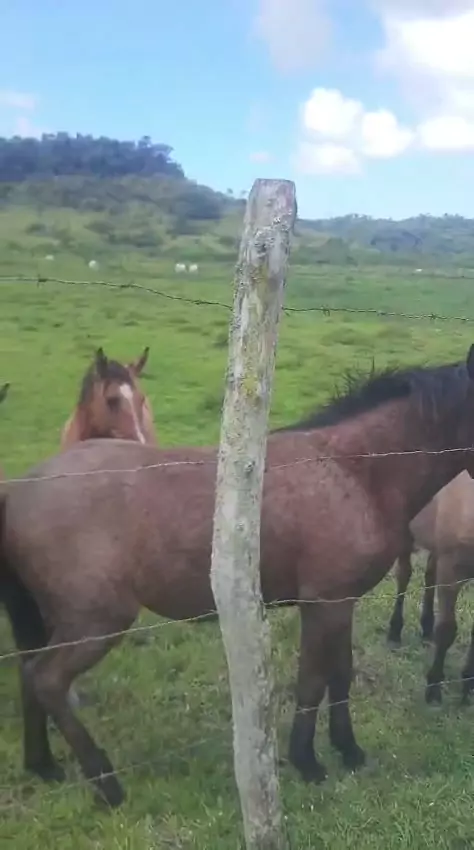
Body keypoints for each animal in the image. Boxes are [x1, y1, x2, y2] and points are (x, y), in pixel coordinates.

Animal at [2, 350, 474, 807]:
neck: (352, 470)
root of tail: (20, 488)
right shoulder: (324, 604)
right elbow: (312, 682)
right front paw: (308, 762)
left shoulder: (341, 602)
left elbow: (340, 676)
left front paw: (350, 751)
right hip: (96, 622)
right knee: (47, 680)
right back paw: (107, 782)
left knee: (29, 672)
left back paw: (43, 765)